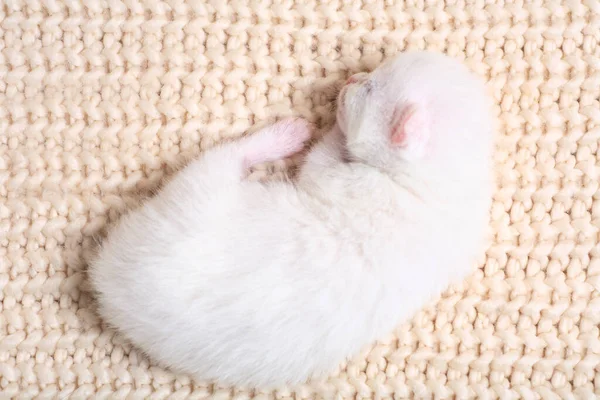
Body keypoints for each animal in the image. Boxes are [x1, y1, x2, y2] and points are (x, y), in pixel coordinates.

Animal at [89, 51, 492, 390]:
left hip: (198, 190)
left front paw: (335, 129)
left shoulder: (343, 180)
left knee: (230, 157)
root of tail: (111, 285)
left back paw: (283, 136)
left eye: (370, 89)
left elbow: (322, 158)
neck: (435, 192)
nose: (352, 78)